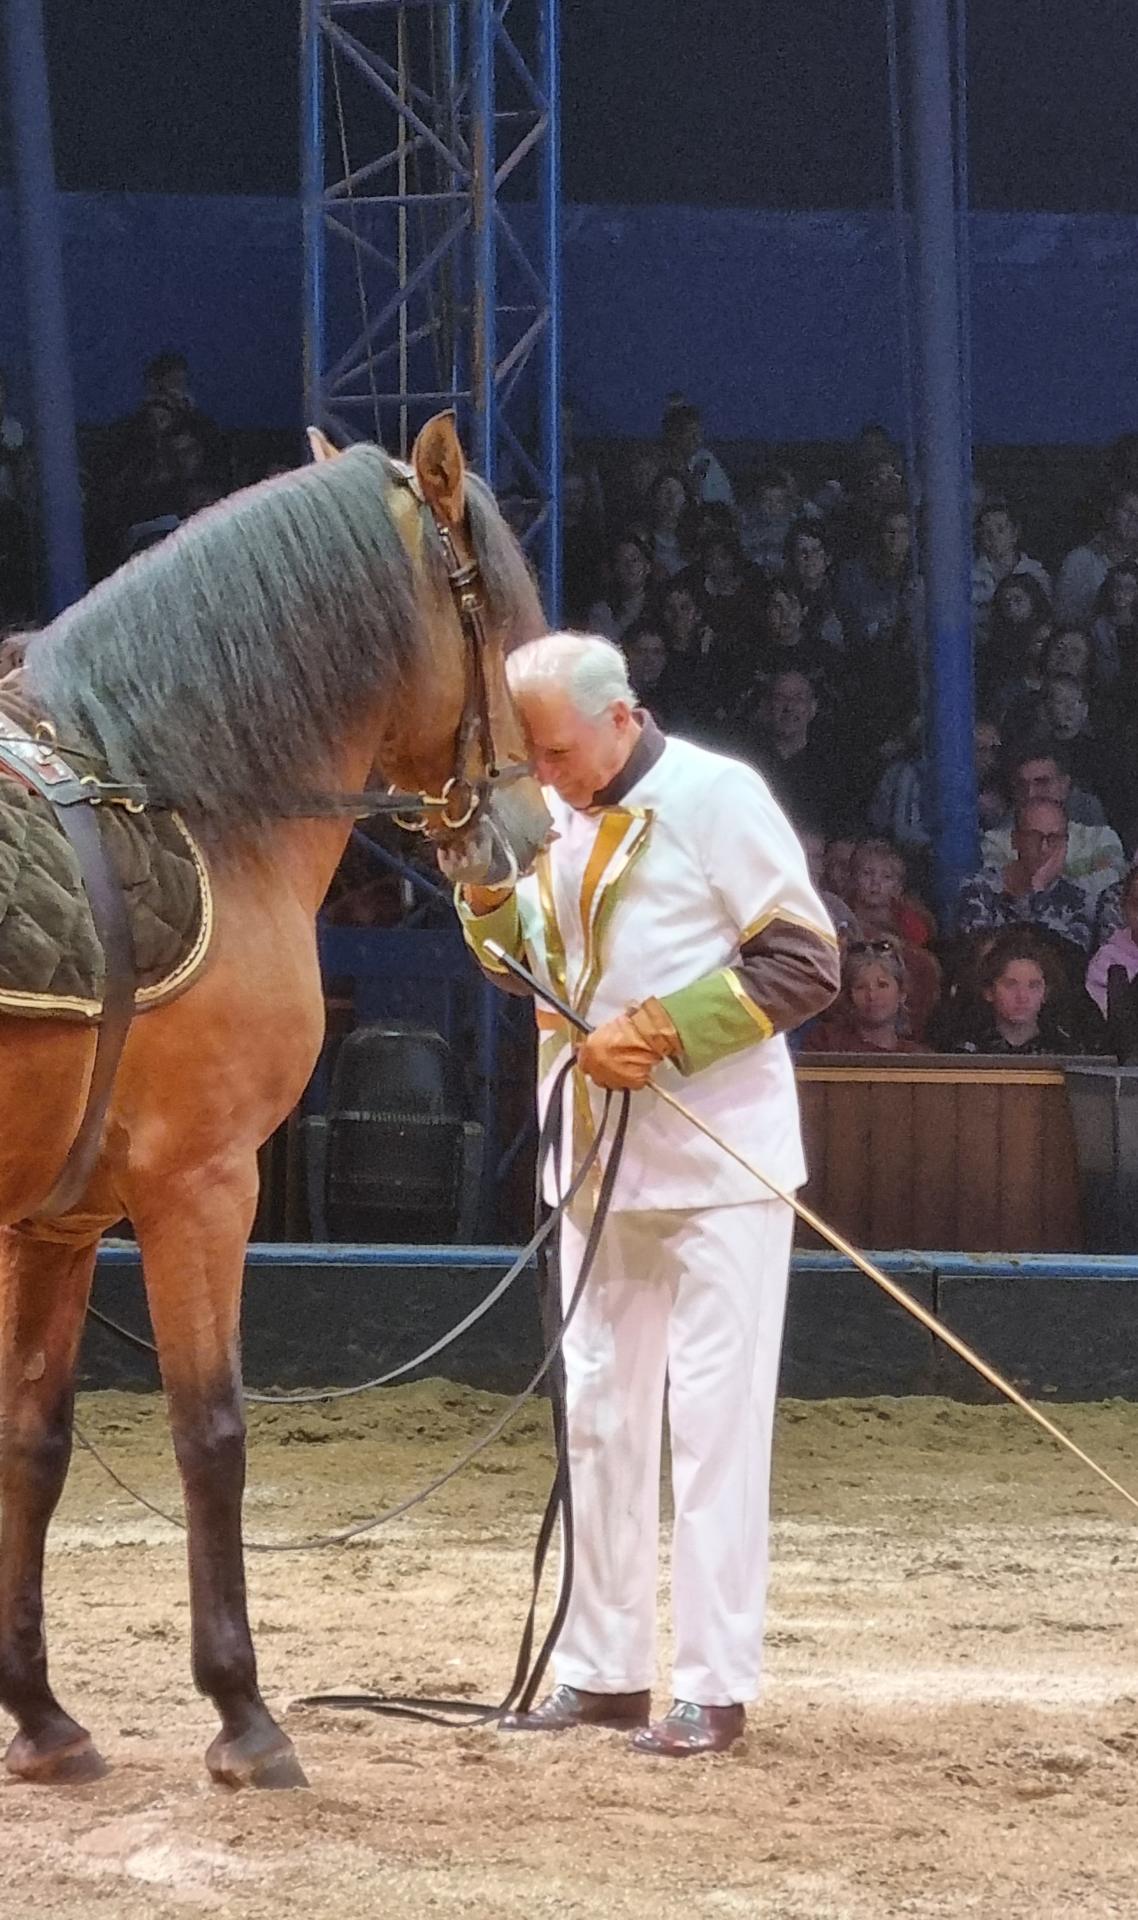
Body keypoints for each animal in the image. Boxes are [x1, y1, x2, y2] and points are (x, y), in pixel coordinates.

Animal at [0, 412, 548, 1789]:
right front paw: (243, 1715)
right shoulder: (201, 1188)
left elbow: (33, 1444)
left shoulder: (57, 1221)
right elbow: (213, 1434)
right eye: (492, 613)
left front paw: (41, 1717)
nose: (521, 831)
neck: (164, 788)